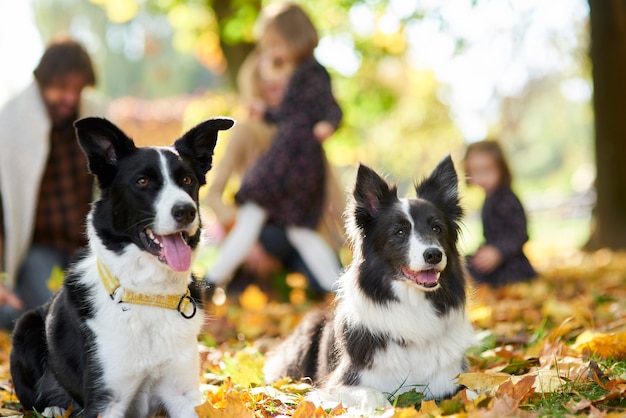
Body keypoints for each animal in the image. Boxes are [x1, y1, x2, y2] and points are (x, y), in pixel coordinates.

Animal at [9, 116, 234, 416]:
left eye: (187, 180)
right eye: (142, 181)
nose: (186, 211)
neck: (148, 294)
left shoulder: (184, 394)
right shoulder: (107, 400)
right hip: (26, 327)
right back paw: (55, 408)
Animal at [262, 155, 472, 410]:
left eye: (437, 228)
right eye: (399, 232)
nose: (434, 255)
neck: (412, 306)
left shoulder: (449, 376)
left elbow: (472, 391)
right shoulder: (334, 385)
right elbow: (374, 395)